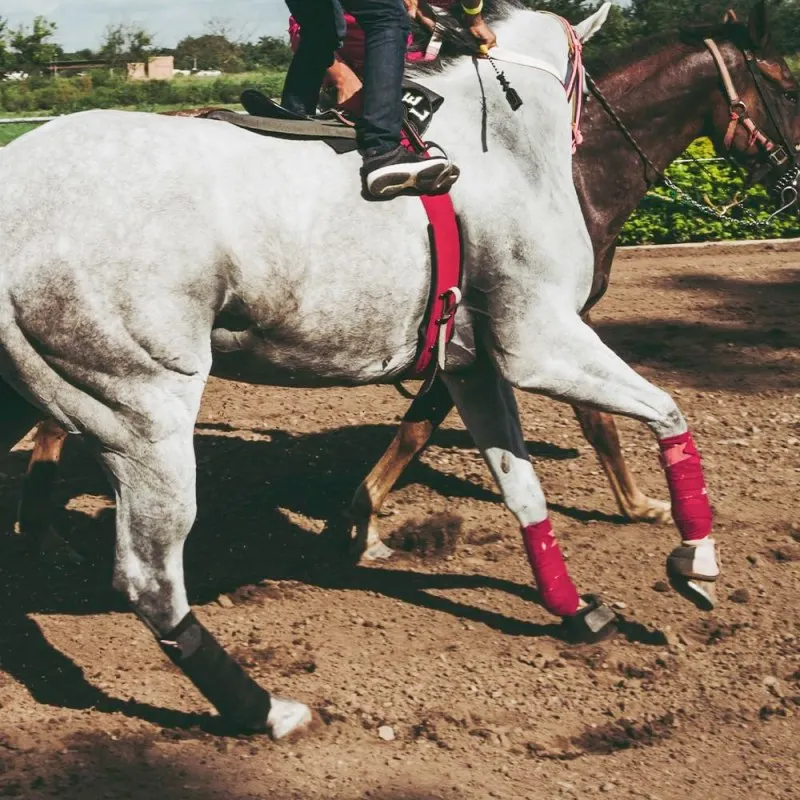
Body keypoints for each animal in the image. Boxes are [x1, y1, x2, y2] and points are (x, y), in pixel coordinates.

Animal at [10, 3, 800, 568]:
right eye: (785, 82)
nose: (791, 176)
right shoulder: (533, 322)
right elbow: (574, 417)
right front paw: (641, 505)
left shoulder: (469, 332)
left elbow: (436, 420)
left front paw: (363, 516)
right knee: (63, 420)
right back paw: (42, 532)